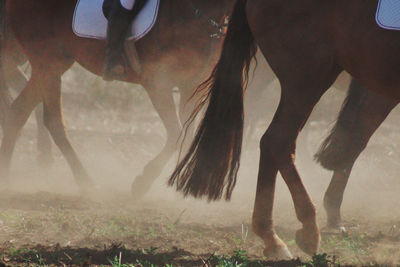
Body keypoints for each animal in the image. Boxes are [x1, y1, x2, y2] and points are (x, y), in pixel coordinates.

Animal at [0, 0, 234, 193]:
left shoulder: (192, 85)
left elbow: (188, 135)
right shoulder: (158, 83)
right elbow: (177, 133)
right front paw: (143, 181)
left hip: (54, 63)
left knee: (18, 111)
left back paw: (7, 176)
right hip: (46, 61)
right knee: (53, 121)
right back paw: (85, 181)